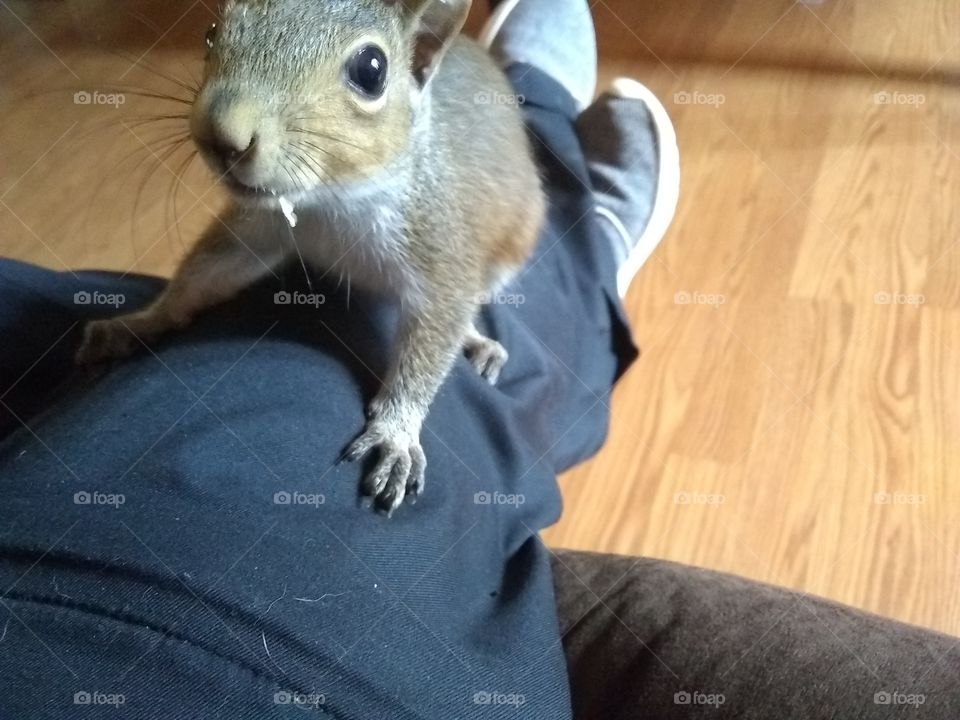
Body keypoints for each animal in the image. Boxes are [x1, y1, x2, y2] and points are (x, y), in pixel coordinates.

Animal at [75, 0, 545, 515]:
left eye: (371, 70)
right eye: (213, 30)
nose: (220, 134)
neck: (329, 200)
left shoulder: (439, 245)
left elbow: (431, 341)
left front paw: (396, 433)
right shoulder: (258, 230)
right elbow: (203, 276)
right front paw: (141, 321)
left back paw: (477, 342)